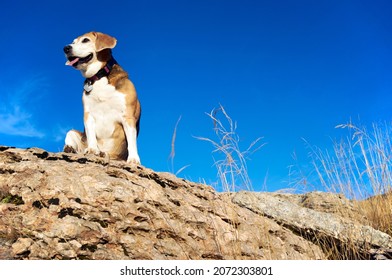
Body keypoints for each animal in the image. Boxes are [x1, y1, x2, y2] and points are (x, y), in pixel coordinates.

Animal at [64, 31, 142, 163]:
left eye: (85, 40)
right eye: (73, 42)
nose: (66, 48)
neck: (99, 77)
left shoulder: (128, 116)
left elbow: (132, 142)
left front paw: (133, 159)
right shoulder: (88, 114)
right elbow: (91, 136)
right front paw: (92, 149)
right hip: (73, 133)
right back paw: (71, 149)